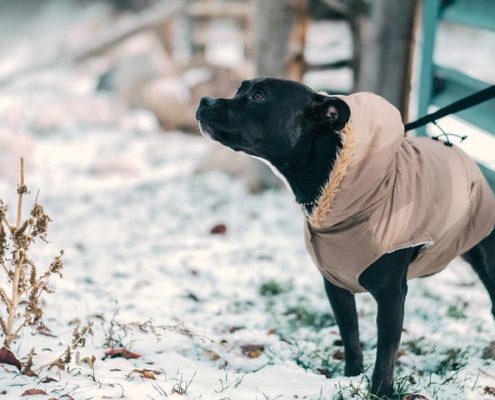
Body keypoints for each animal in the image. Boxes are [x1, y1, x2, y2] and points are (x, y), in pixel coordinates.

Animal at [196, 77, 495, 396]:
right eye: (240, 89)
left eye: (258, 96)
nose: (205, 101)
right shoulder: (336, 285)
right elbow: (351, 336)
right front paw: (351, 377)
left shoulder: (391, 294)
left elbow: (386, 350)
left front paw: (381, 392)